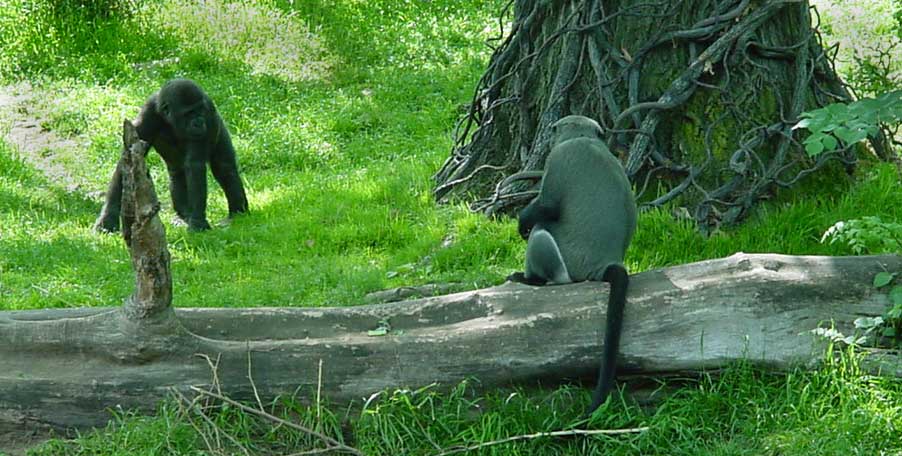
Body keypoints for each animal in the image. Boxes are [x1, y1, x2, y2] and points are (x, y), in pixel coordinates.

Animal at [94, 78, 248, 233]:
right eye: (189, 113)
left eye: (200, 110)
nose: (199, 122)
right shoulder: (147, 113)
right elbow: (128, 158)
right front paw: (107, 219)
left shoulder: (209, 113)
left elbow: (195, 165)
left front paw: (198, 222)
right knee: (177, 172)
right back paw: (184, 213)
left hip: (219, 125)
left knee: (225, 168)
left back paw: (238, 213)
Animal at [507, 115, 637, 417]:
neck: (584, 139)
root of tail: (606, 263)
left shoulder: (559, 158)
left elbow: (548, 207)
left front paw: (522, 222)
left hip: (564, 261)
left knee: (542, 230)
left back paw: (533, 279)